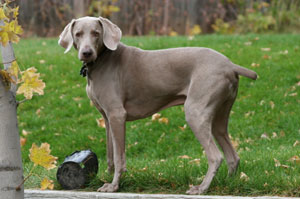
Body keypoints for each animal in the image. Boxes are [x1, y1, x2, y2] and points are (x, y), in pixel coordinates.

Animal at [59, 17, 258, 194]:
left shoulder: (117, 115)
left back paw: (201, 188)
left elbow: (118, 155)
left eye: (96, 33)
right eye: (78, 34)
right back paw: (228, 184)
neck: (101, 61)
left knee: (216, 156)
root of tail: (230, 65)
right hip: (219, 115)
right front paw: (107, 179)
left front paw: (114, 186)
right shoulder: (107, 118)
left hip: (196, 112)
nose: (86, 53)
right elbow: (110, 154)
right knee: (232, 155)